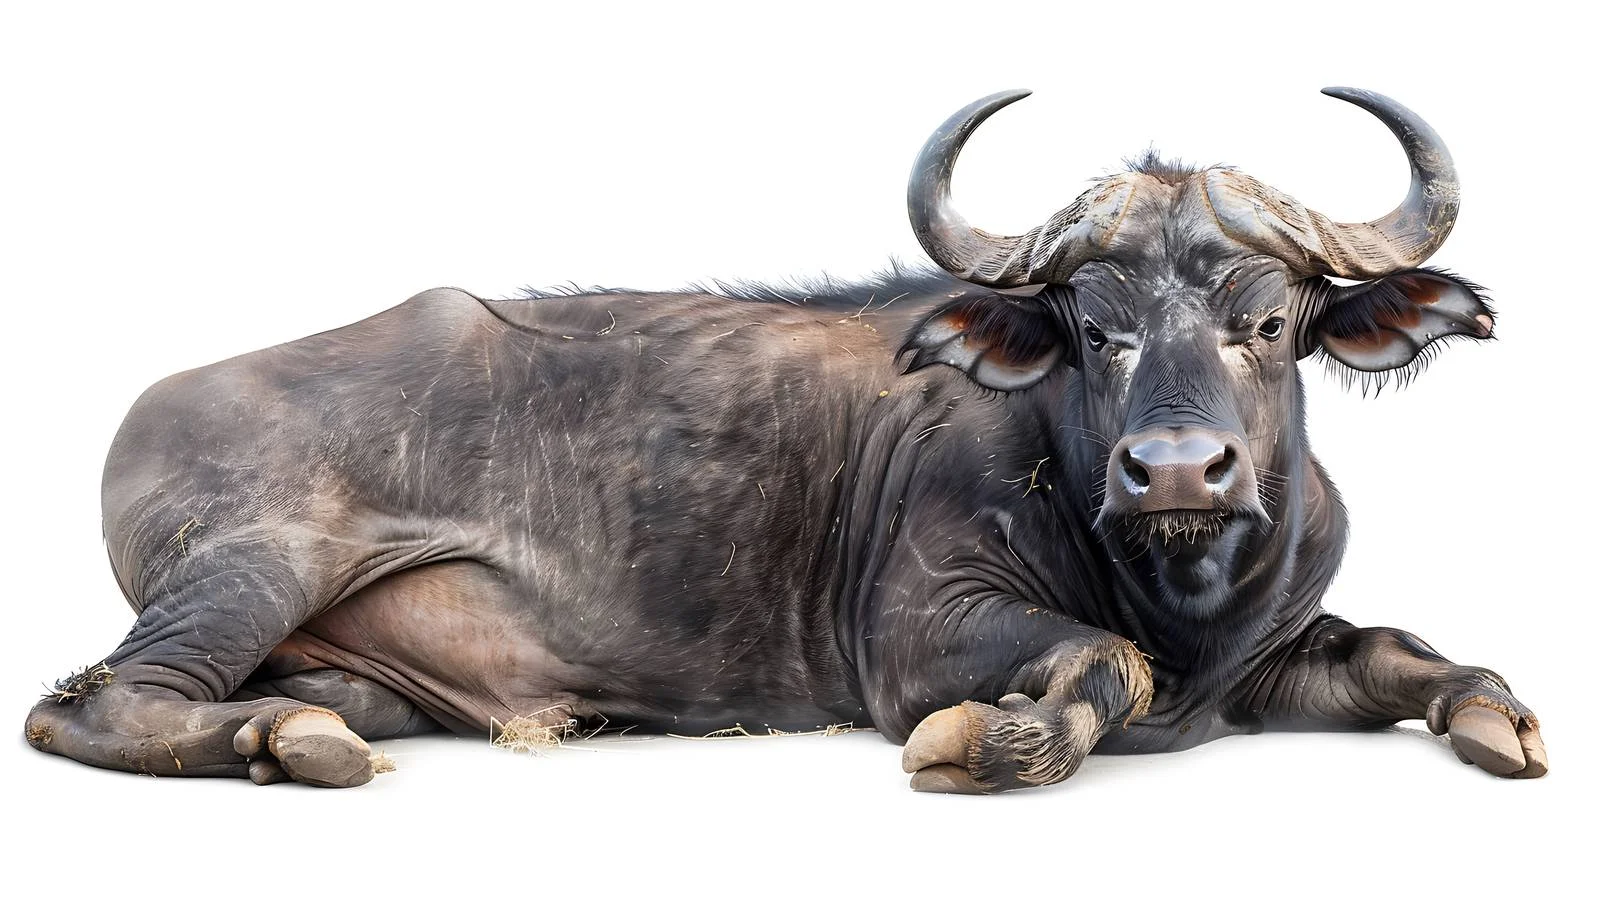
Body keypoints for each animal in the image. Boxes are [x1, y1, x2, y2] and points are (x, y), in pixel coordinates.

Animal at [24, 87, 1545, 791]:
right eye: (1092, 323)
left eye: (1271, 319)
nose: (1176, 469)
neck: (1183, 590)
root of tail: (157, 400)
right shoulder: (918, 635)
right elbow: (1094, 669)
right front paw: (984, 742)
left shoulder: (1278, 649)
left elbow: (1408, 653)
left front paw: (1497, 719)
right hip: (248, 568)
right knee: (89, 701)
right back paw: (289, 743)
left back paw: (300, 726)